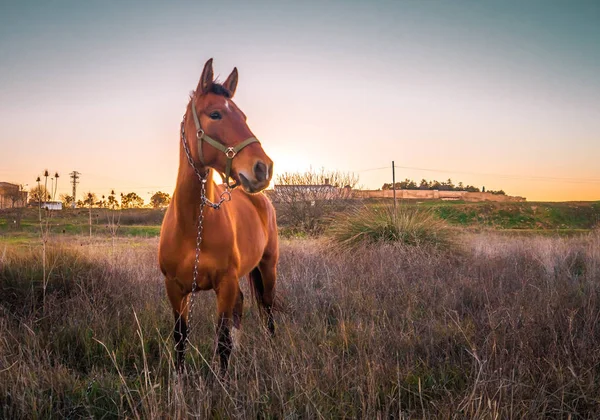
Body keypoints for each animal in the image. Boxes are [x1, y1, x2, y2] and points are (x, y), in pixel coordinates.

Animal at [159, 57, 282, 372]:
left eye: (244, 116)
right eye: (215, 114)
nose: (263, 168)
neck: (194, 225)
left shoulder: (224, 285)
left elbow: (223, 342)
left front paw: (223, 381)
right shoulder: (175, 289)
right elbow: (180, 339)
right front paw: (179, 380)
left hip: (268, 268)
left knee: (268, 310)